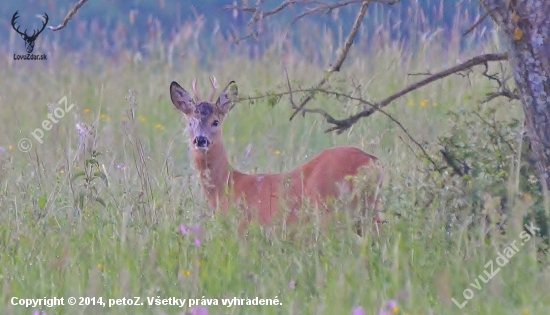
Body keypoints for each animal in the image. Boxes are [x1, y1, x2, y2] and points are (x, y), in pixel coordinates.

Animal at [170, 78, 386, 236]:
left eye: (216, 121)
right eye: (191, 122)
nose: (200, 140)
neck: (228, 187)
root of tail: (373, 161)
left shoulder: (245, 231)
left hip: (333, 211)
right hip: (370, 209)